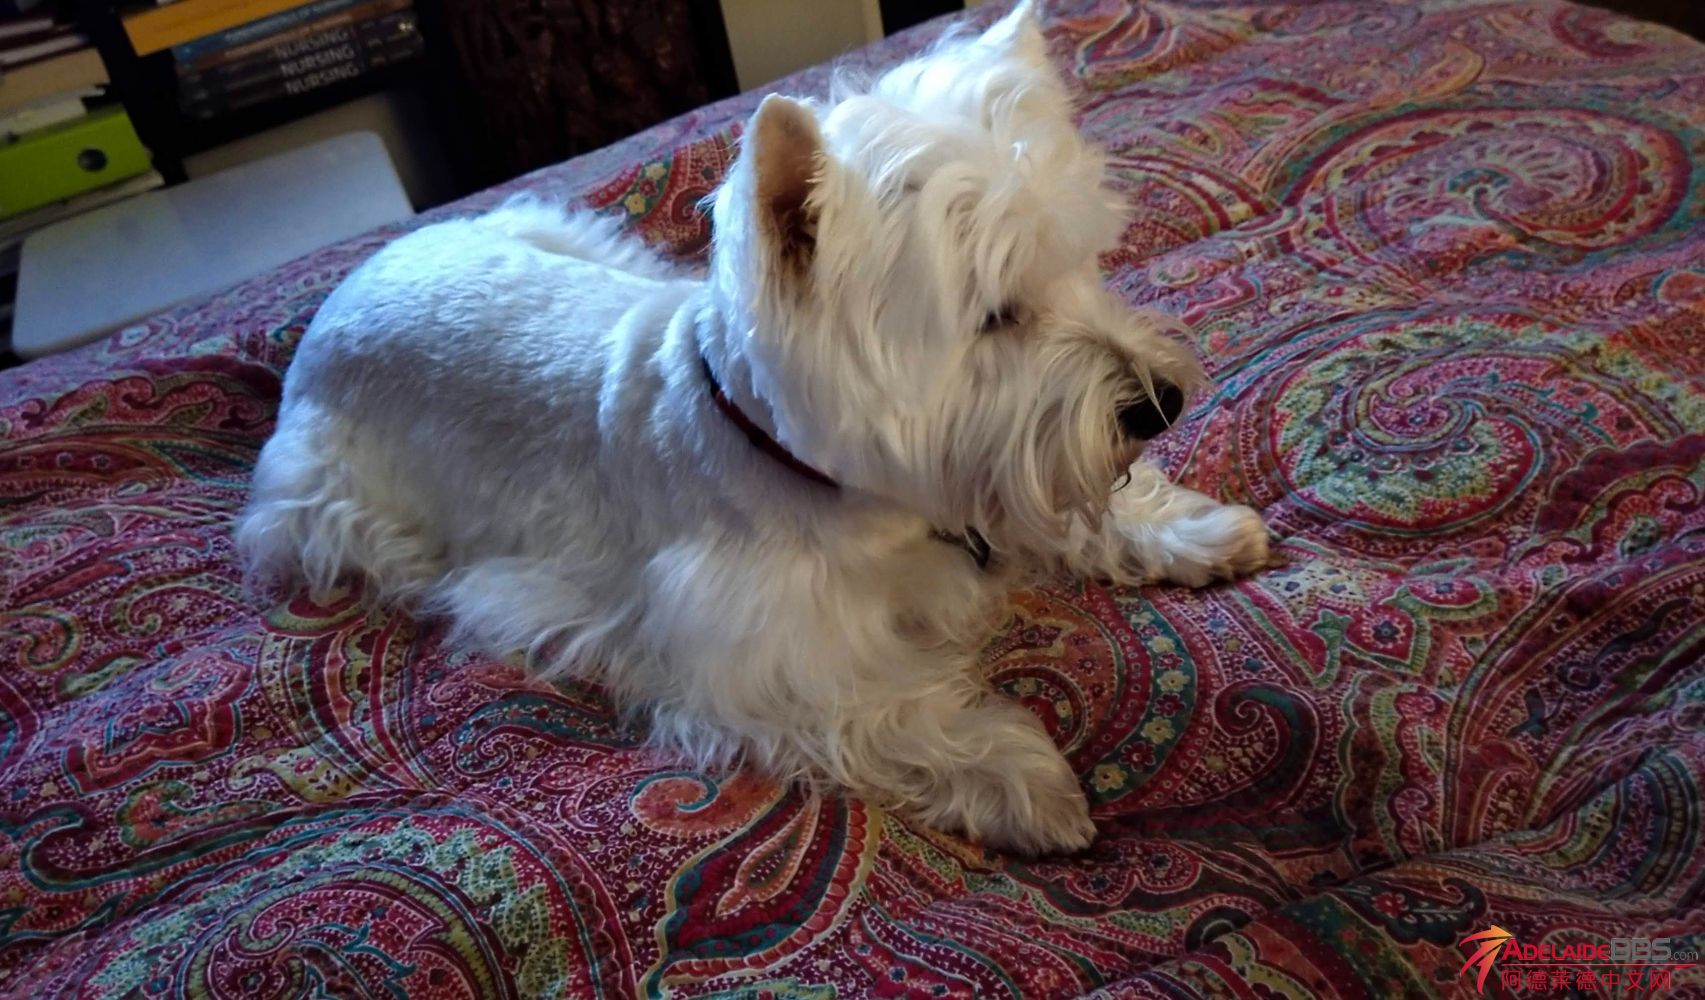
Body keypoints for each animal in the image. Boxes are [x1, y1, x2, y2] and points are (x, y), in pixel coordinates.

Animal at [237, 1, 1269, 854]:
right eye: (995, 315)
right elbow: (891, 705)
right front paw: (1017, 777)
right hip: (341, 505)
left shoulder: (991, 469)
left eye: (1084, 261)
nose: (1160, 404)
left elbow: (1075, 503)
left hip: (562, 232)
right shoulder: (754, 657)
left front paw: (1189, 529)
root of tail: (351, 284)